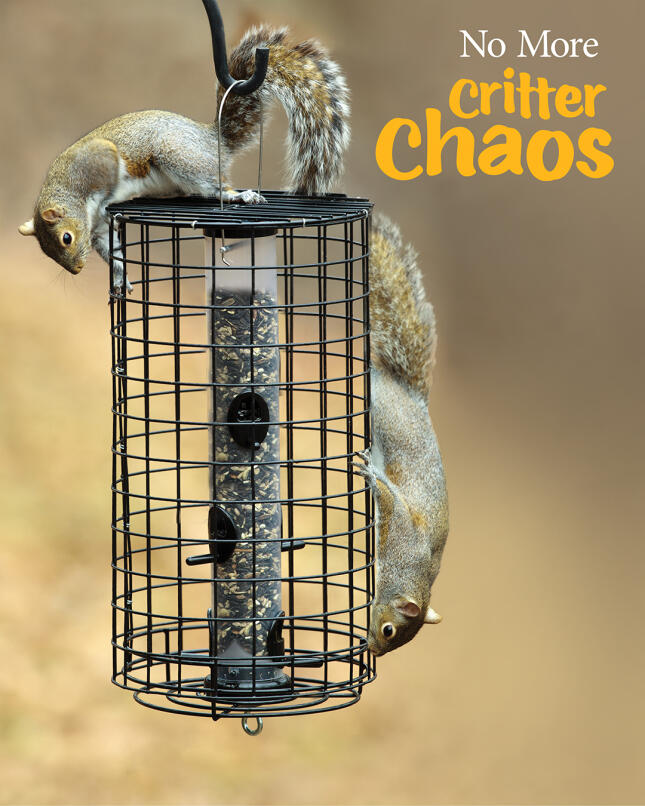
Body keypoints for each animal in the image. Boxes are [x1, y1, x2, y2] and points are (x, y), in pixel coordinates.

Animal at [18, 24, 350, 292]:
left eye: (66, 239)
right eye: (47, 252)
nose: (77, 270)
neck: (72, 192)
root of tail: (213, 140)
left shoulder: (99, 158)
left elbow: (111, 170)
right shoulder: (98, 227)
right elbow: (113, 251)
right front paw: (121, 277)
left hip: (179, 158)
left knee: (216, 186)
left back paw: (237, 196)